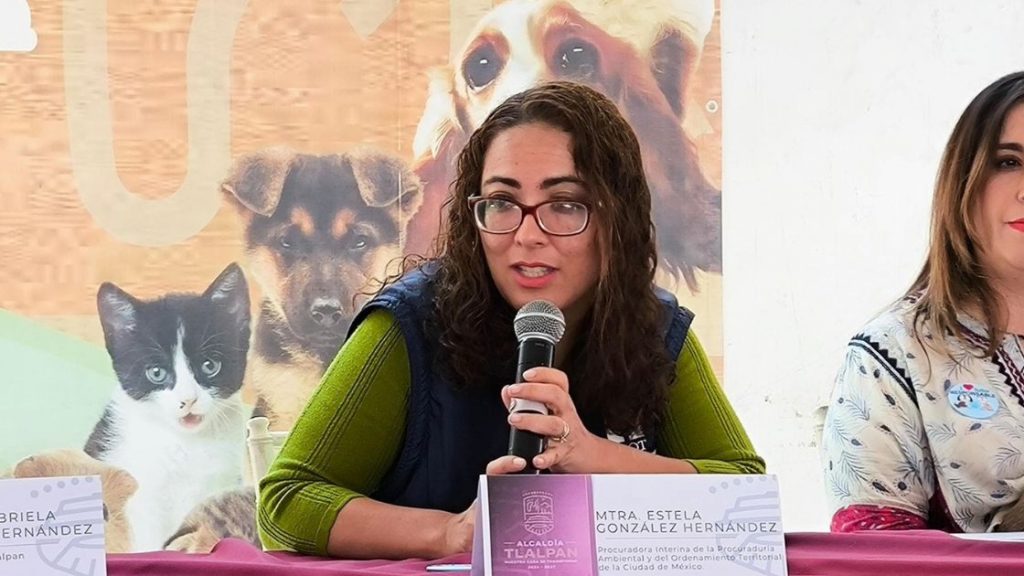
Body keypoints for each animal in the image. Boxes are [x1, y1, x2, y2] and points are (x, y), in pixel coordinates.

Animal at [85, 263, 252, 552]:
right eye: (156, 373)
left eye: (209, 365)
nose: (188, 400)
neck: (186, 444)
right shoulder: (139, 494)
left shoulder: (221, 484)